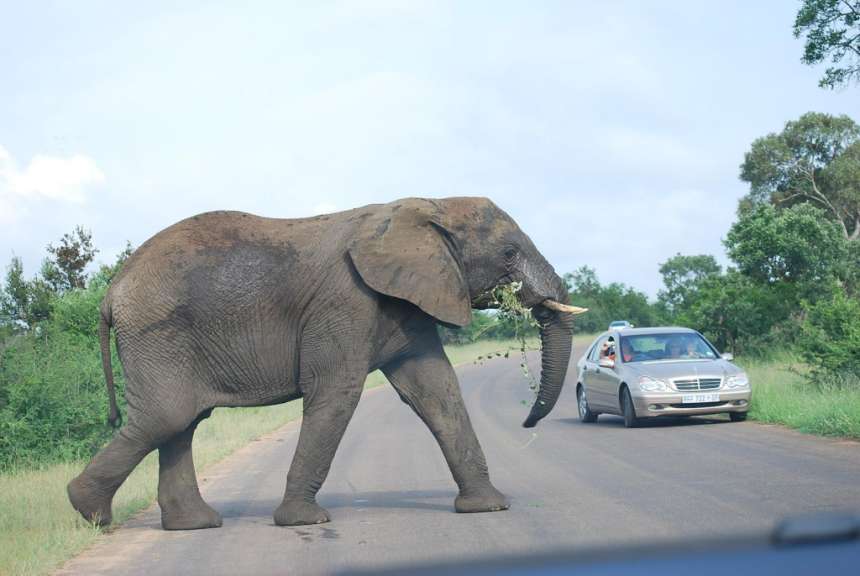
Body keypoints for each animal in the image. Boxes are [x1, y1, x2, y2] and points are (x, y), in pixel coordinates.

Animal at [67, 196, 585, 530]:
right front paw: (305, 521)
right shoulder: (347, 301)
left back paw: (194, 525)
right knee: (169, 417)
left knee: (182, 422)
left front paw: (489, 509)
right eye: (509, 253)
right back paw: (91, 514)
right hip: (158, 333)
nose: (527, 422)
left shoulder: (407, 302)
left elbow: (437, 391)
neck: (428, 205)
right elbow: (337, 392)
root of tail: (112, 291)